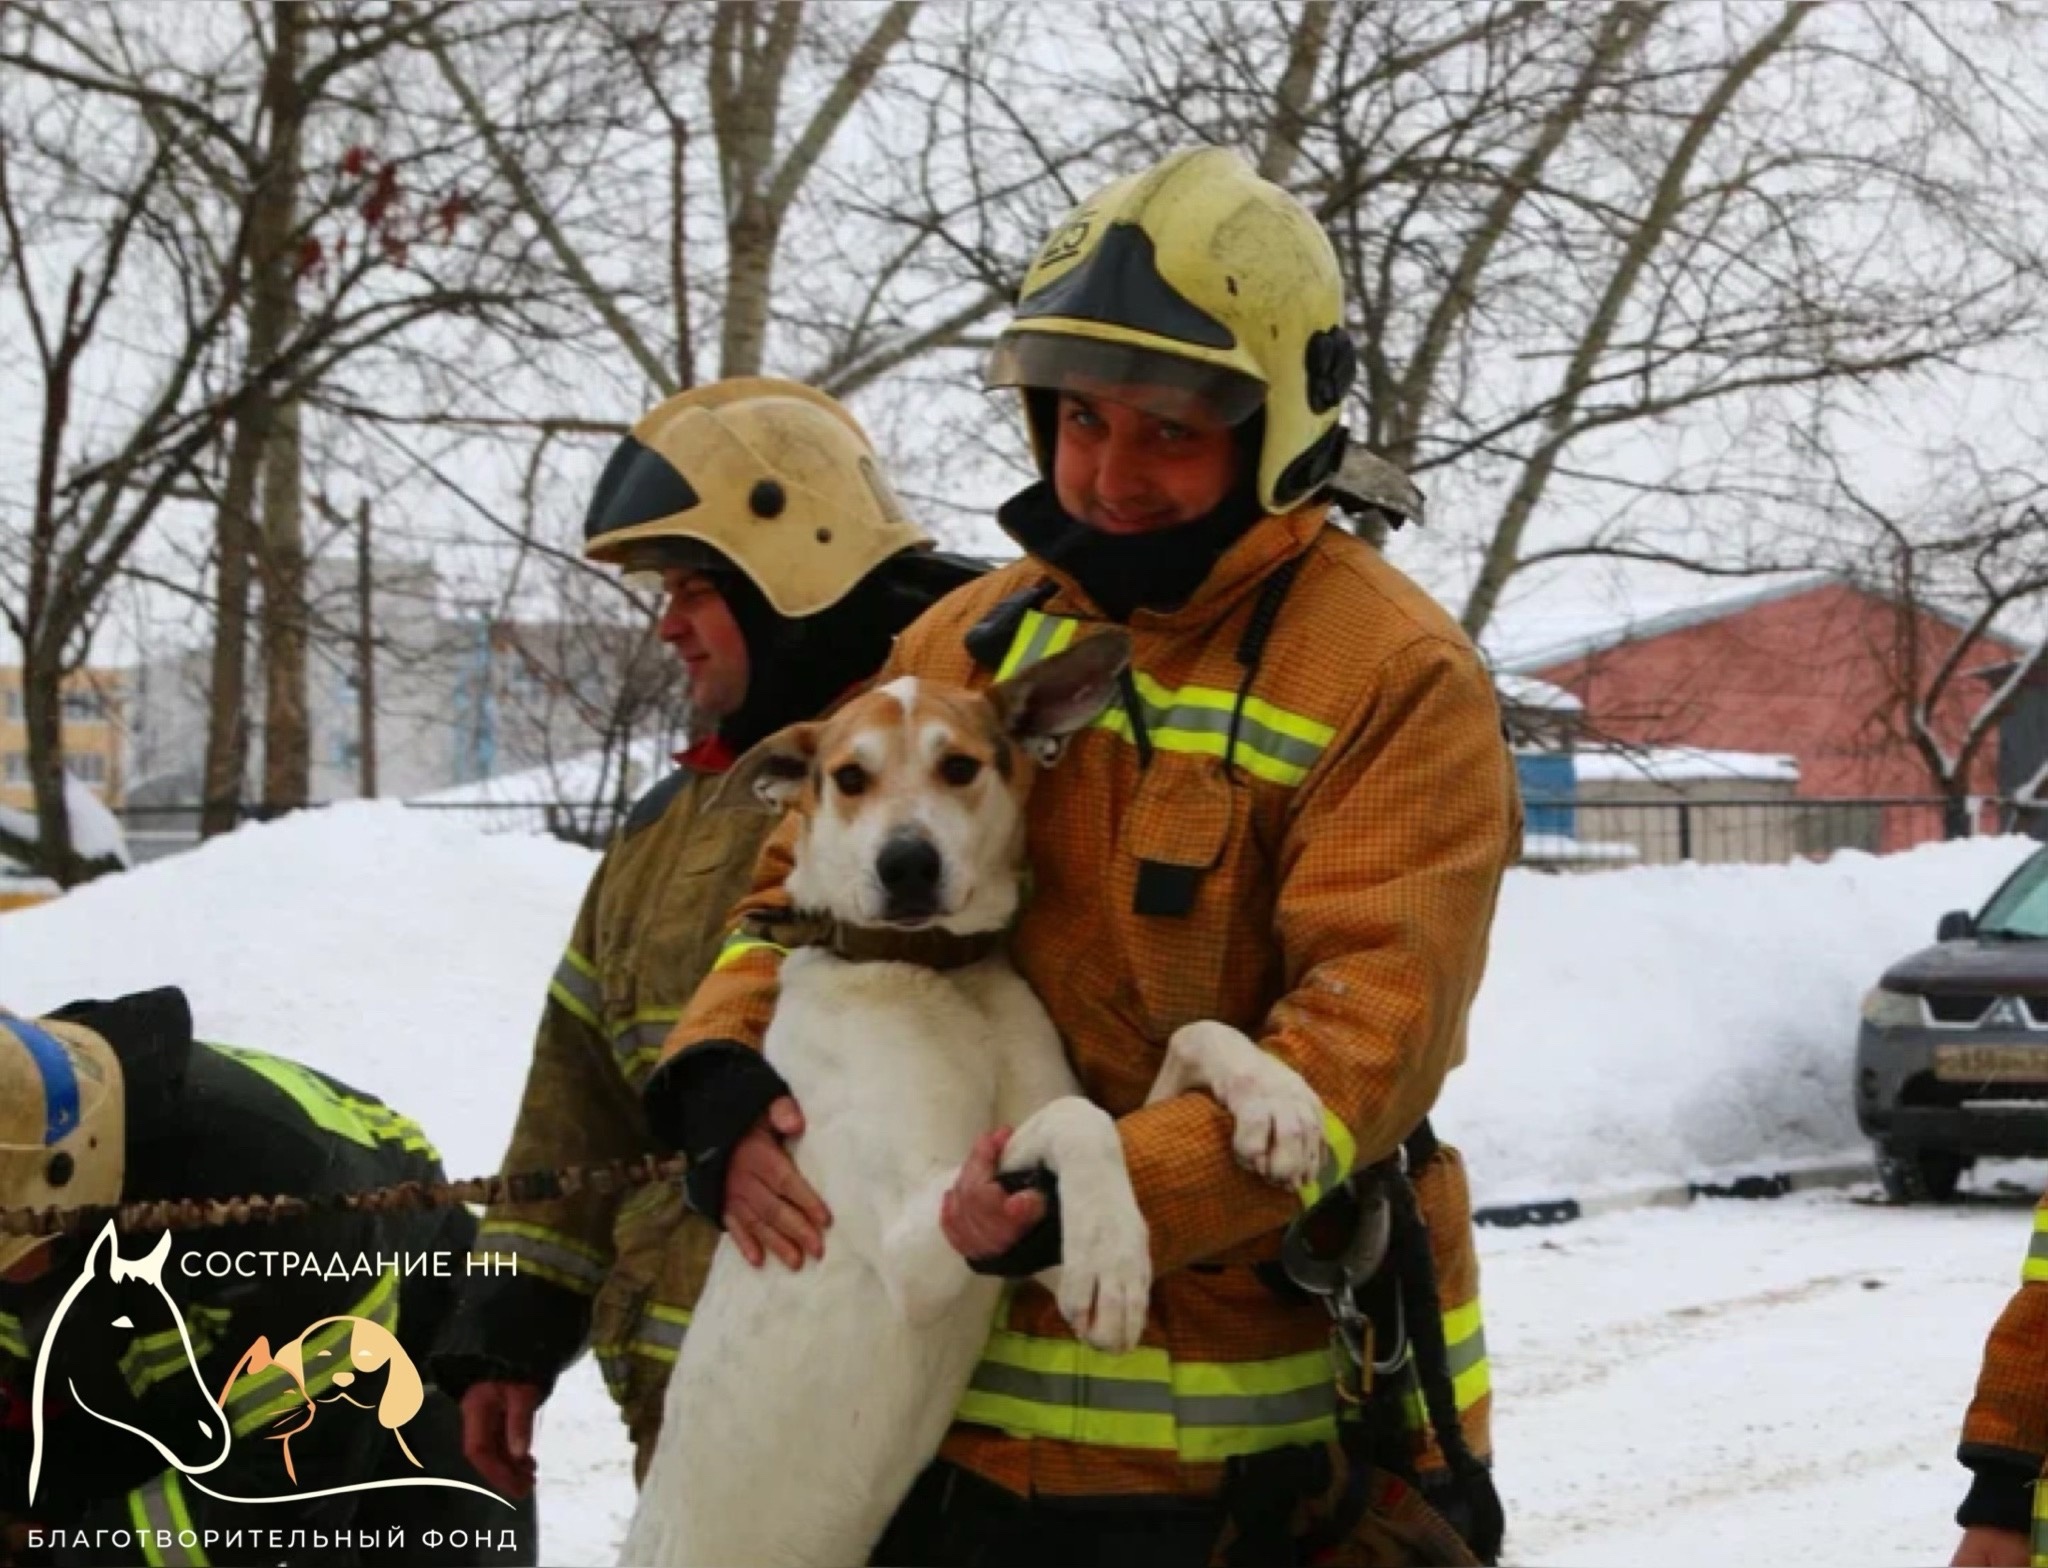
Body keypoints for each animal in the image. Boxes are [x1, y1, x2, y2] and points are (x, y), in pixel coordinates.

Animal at [622, 630, 1327, 1568]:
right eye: (850, 777)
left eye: (958, 766)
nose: (907, 865)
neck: (935, 976)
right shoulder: (916, 1246)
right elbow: (1078, 1121)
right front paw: (1112, 1261)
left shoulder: (1017, 1238)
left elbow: (1188, 1038)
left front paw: (1274, 1101)